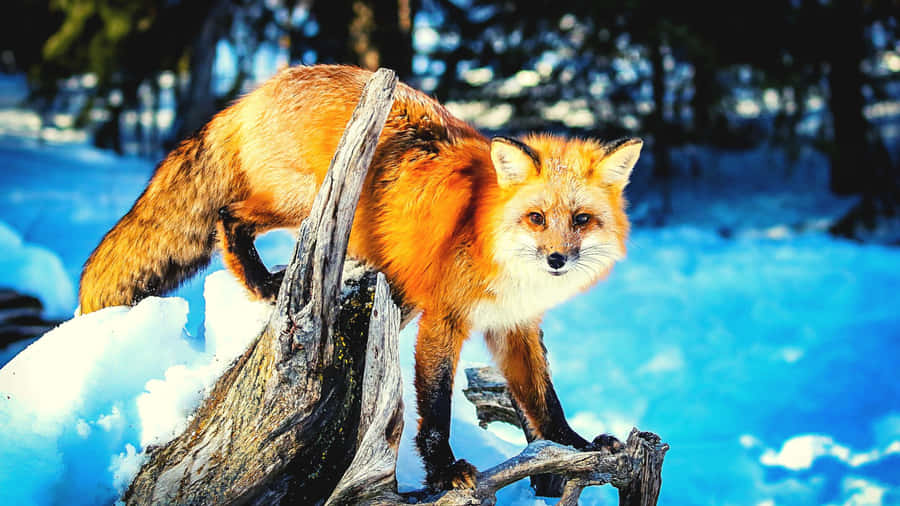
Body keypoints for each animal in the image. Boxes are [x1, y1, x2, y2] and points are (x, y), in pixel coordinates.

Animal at [77, 63, 640, 490]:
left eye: (581, 220)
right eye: (537, 218)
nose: (557, 260)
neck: (487, 234)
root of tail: (262, 88)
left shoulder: (514, 326)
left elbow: (544, 401)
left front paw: (576, 444)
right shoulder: (443, 320)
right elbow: (436, 410)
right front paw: (443, 472)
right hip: (302, 202)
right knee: (227, 217)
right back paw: (261, 283)